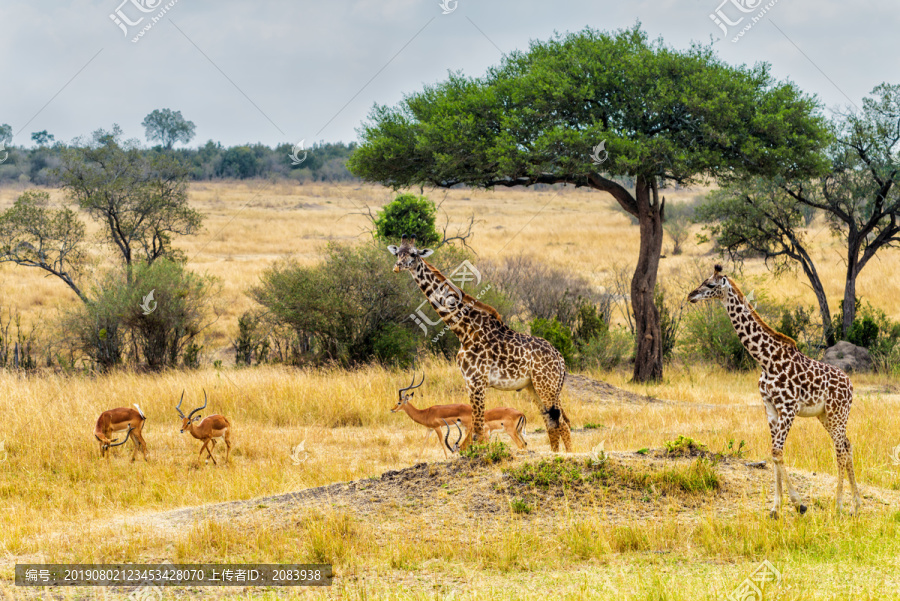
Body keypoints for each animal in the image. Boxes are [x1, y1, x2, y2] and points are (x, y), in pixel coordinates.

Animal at [384, 234, 568, 450]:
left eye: (413, 253)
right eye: (397, 253)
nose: (397, 267)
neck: (464, 330)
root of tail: (560, 358)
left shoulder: (477, 381)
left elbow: (478, 430)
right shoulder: (469, 383)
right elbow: (476, 428)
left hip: (546, 386)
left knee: (562, 423)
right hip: (536, 387)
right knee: (553, 422)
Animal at [392, 370, 532, 460]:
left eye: (399, 402)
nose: (392, 409)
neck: (425, 413)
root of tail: (521, 414)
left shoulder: (438, 428)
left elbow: (442, 442)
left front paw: (447, 458)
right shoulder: (429, 429)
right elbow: (424, 442)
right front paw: (418, 460)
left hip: (506, 431)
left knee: (520, 445)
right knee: (524, 444)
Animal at [692, 264, 860, 516]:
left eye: (710, 284)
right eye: (702, 282)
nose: (691, 296)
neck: (766, 359)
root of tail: (850, 385)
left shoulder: (788, 408)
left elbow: (778, 451)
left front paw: (799, 504)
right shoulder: (770, 407)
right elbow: (773, 452)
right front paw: (776, 507)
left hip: (837, 413)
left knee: (840, 449)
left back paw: (839, 504)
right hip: (826, 416)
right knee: (846, 446)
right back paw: (856, 504)